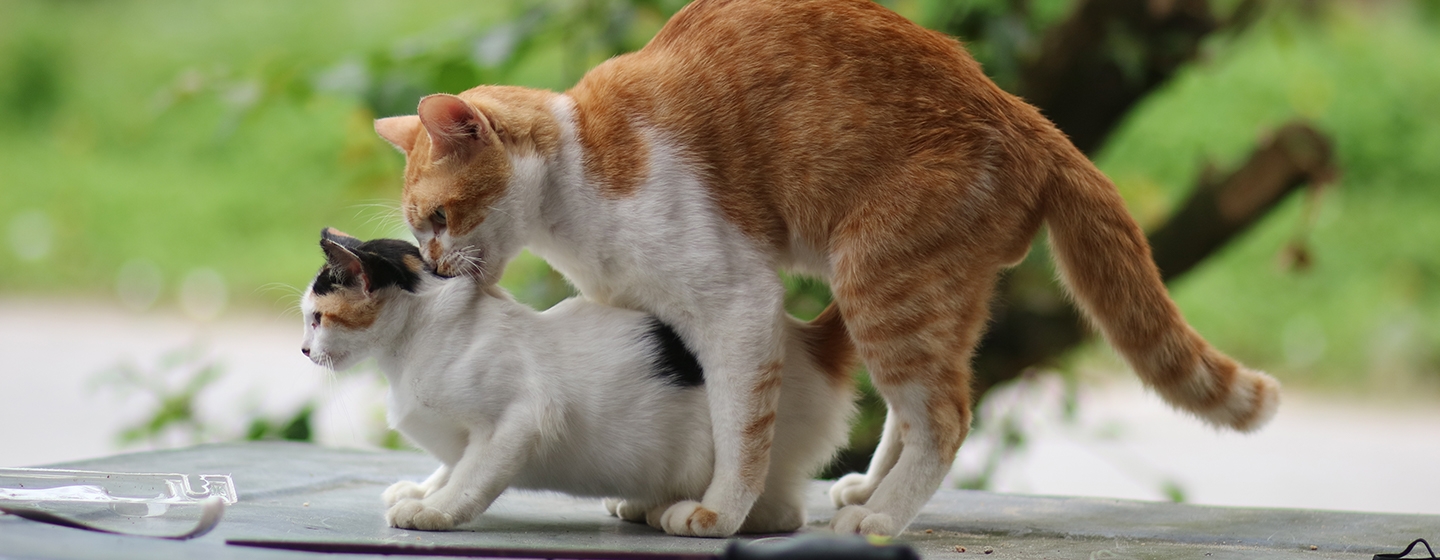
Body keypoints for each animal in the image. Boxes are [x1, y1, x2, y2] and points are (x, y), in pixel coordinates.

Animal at [298, 227, 852, 532]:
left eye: (317, 319)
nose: (304, 350)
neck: (407, 352)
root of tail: (804, 339)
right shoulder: (466, 437)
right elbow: (454, 464)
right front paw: (423, 490)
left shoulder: (521, 419)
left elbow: (473, 476)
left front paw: (435, 510)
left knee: (783, 512)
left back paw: (683, 511)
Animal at [371, 0, 1284, 535]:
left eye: (438, 219)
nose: (437, 266)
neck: (576, 190)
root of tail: (1027, 116)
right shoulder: (665, 316)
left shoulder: (738, 304)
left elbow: (742, 425)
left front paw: (718, 511)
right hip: (928, 297)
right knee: (917, 408)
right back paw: (869, 496)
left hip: (877, 279)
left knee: (945, 415)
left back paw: (880, 521)